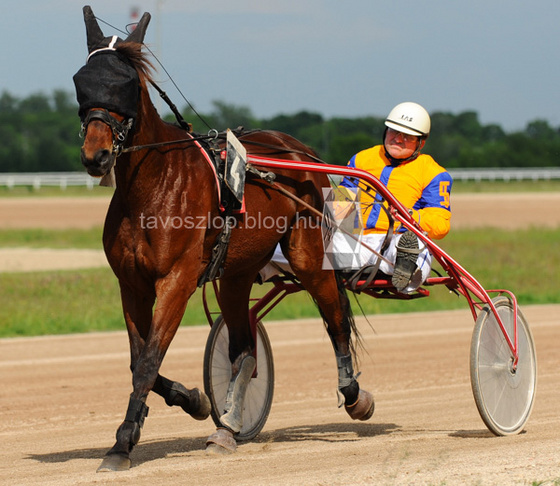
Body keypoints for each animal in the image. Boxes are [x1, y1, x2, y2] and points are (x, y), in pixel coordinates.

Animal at [73, 5, 372, 472]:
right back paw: (227, 424)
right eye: (82, 80)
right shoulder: (132, 285)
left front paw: (122, 443)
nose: (96, 155)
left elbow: (148, 361)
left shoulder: (175, 282)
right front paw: (193, 400)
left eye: (125, 85)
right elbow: (139, 361)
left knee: (335, 320)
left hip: (306, 253)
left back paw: (355, 396)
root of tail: (298, 150)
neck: (153, 187)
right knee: (244, 350)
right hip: (236, 274)